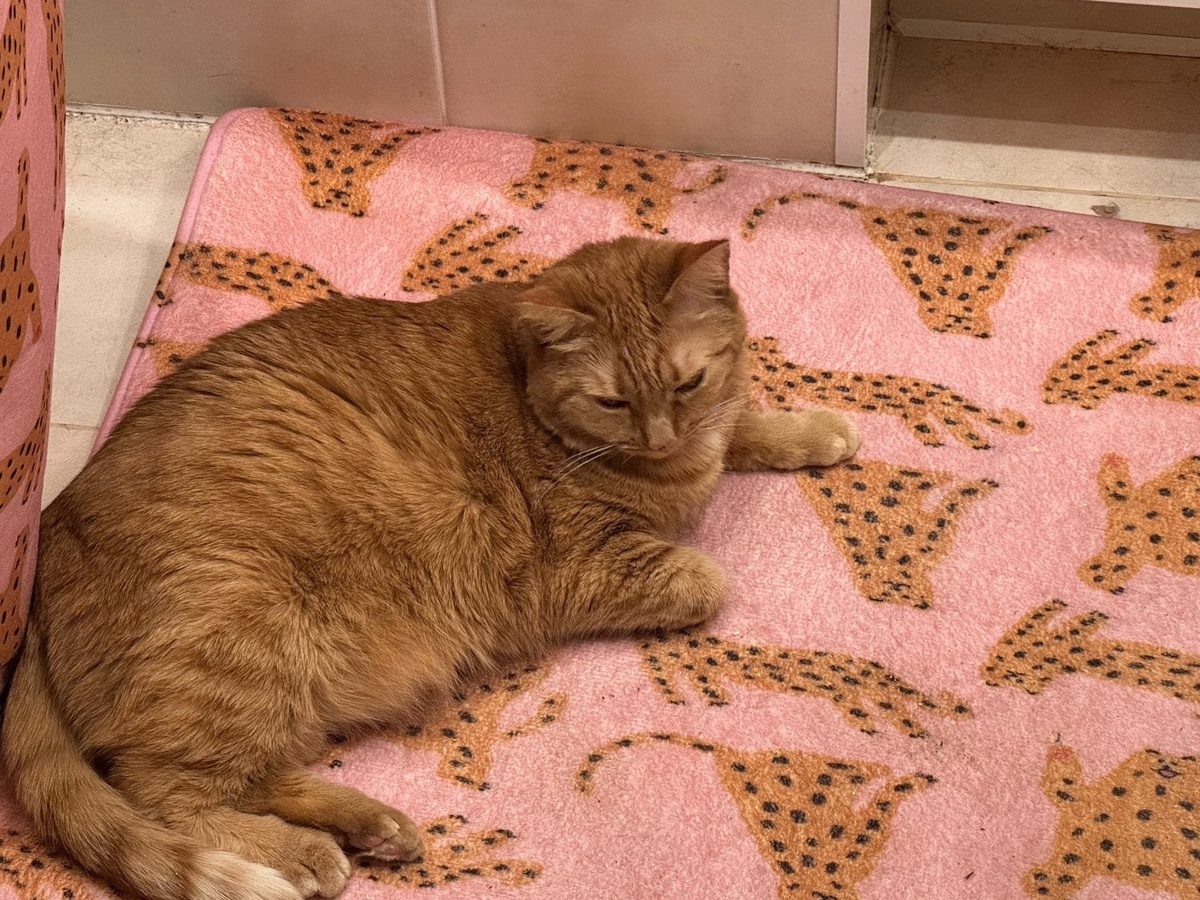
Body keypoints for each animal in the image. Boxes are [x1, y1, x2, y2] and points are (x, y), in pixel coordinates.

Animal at [1, 237, 858, 900]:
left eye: (687, 382)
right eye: (613, 403)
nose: (659, 438)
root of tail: (49, 538)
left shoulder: (705, 430)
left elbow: (742, 424)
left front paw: (812, 432)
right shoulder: (579, 570)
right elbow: (707, 579)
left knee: (245, 776)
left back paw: (373, 825)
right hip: (239, 640)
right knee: (164, 794)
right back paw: (300, 856)